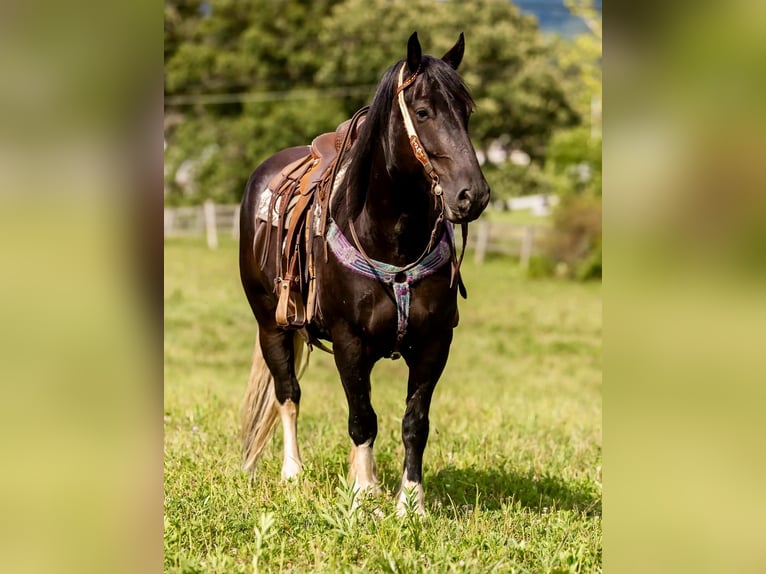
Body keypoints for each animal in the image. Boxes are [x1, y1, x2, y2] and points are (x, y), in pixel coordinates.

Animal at [240, 32, 492, 516]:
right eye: (423, 111)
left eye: (467, 112)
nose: (473, 195)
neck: (389, 238)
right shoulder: (349, 342)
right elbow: (362, 419)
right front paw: (361, 495)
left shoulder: (434, 343)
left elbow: (415, 422)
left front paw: (410, 502)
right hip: (270, 324)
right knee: (288, 393)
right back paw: (292, 472)